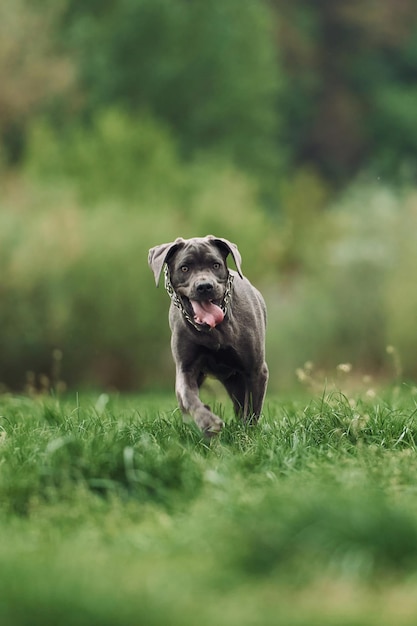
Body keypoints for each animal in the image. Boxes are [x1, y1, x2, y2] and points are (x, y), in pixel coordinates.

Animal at [148, 234, 268, 434]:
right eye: (185, 268)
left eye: (216, 265)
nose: (204, 286)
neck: (214, 330)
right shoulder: (186, 369)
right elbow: (189, 397)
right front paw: (208, 421)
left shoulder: (256, 370)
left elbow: (252, 409)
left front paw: (247, 435)